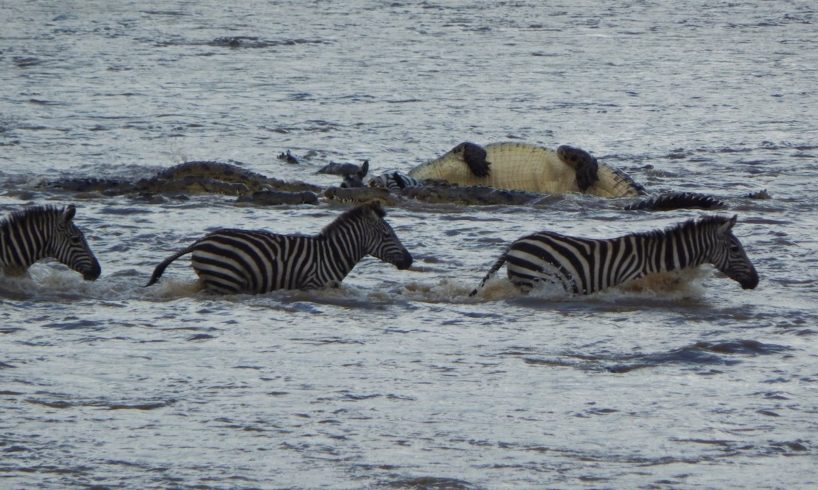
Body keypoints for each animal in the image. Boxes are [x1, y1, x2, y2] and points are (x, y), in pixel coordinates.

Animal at [146, 200, 412, 292]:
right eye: (388, 234)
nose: (411, 260)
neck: (331, 254)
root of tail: (201, 241)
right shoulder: (313, 286)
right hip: (224, 281)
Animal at [468, 214, 760, 294]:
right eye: (735, 249)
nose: (756, 281)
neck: (659, 258)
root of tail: (515, 244)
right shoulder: (633, 284)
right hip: (532, 281)